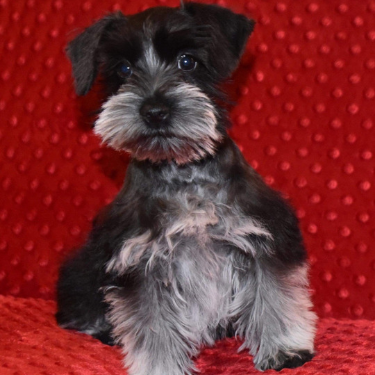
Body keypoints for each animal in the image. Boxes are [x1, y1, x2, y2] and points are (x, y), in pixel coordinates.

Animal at [57, 1, 318, 374]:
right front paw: (160, 366)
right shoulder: (138, 263)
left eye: (187, 61)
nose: (154, 111)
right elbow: (153, 327)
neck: (183, 173)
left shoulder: (264, 239)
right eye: (123, 69)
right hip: (84, 268)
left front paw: (283, 347)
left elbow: (274, 296)